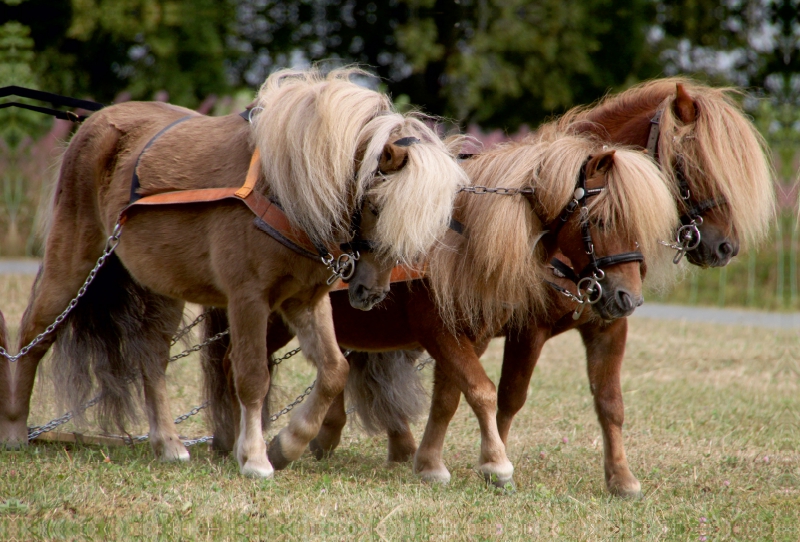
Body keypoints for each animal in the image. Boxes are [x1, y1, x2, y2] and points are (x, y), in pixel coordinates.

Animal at [1, 68, 468, 480]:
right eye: (375, 206)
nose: (371, 293)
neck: (282, 188)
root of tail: (95, 123)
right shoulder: (249, 300)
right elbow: (252, 377)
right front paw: (257, 458)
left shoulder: (303, 301)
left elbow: (335, 371)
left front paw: (287, 445)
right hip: (73, 262)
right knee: (34, 335)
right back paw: (16, 430)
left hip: (163, 287)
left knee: (151, 359)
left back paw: (168, 444)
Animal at [203, 132, 680, 488]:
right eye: (600, 220)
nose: (628, 299)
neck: (461, 238)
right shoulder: (448, 331)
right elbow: (483, 391)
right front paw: (495, 464)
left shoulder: (473, 334)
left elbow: (452, 396)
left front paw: (432, 463)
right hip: (270, 314)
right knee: (239, 366)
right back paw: (243, 444)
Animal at [272, 79, 772, 498]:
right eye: (691, 163)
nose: (725, 246)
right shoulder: (518, 329)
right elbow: (501, 395)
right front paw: (491, 461)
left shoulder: (604, 325)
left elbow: (607, 402)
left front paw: (621, 478)